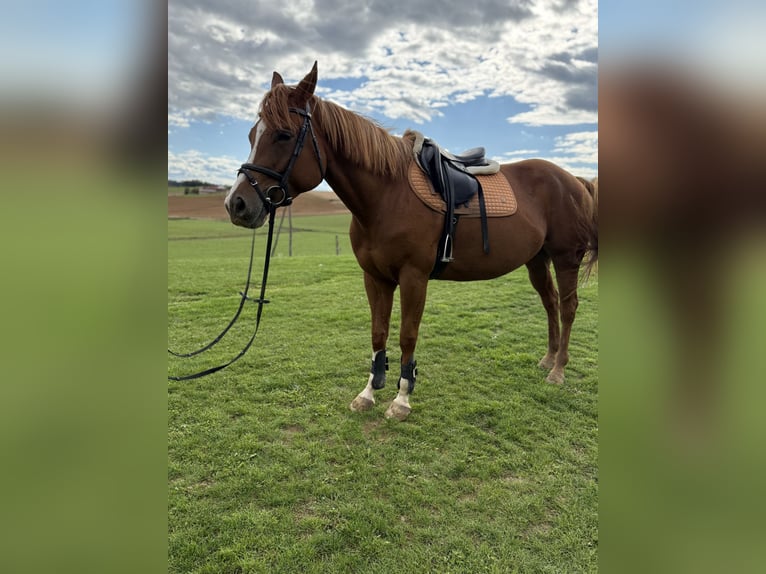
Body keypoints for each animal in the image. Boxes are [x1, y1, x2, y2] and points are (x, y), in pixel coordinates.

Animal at [225, 62, 598, 421]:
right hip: (537, 259)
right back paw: (548, 359)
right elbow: (378, 332)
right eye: (251, 135)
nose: (236, 204)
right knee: (550, 302)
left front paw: (402, 399)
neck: (387, 195)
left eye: (284, 135)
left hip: (566, 258)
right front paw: (368, 393)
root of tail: (574, 180)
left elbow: (407, 335)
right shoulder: (375, 278)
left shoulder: (413, 277)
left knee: (568, 307)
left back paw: (558, 370)